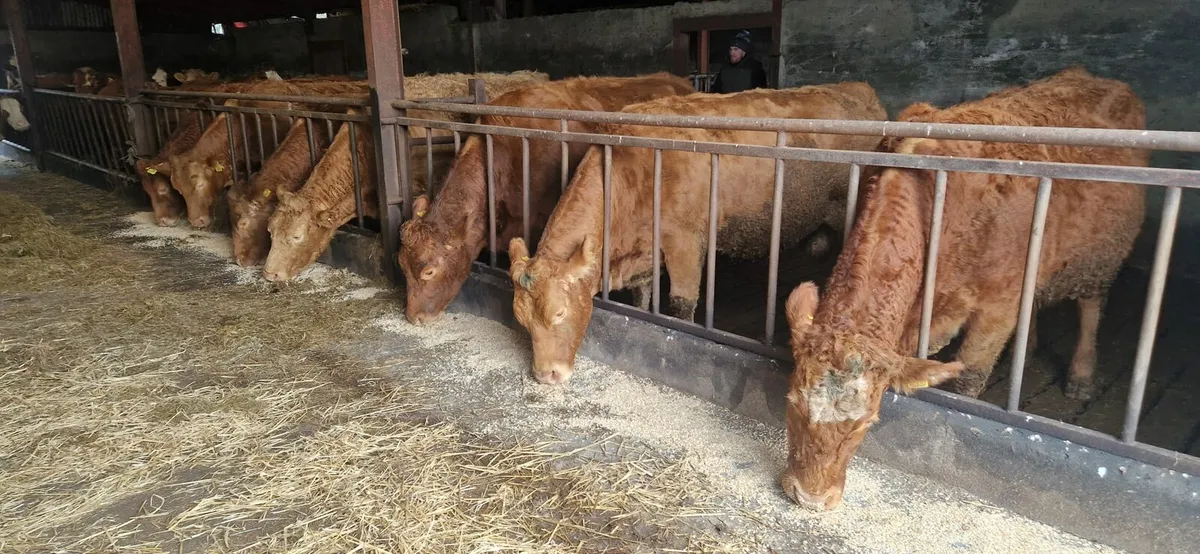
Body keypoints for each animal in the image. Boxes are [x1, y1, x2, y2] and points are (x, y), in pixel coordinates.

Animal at [507, 82, 888, 385]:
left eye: (559, 314)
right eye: (521, 319)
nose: (546, 375)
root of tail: (860, 90)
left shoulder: (685, 244)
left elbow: (682, 304)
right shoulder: (644, 251)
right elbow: (642, 296)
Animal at [778, 67, 1149, 512]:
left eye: (867, 423)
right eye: (792, 402)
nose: (810, 497)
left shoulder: (997, 306)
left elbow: (969, 377)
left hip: (1101, 257)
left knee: (1091, 307)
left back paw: (1080, 375)